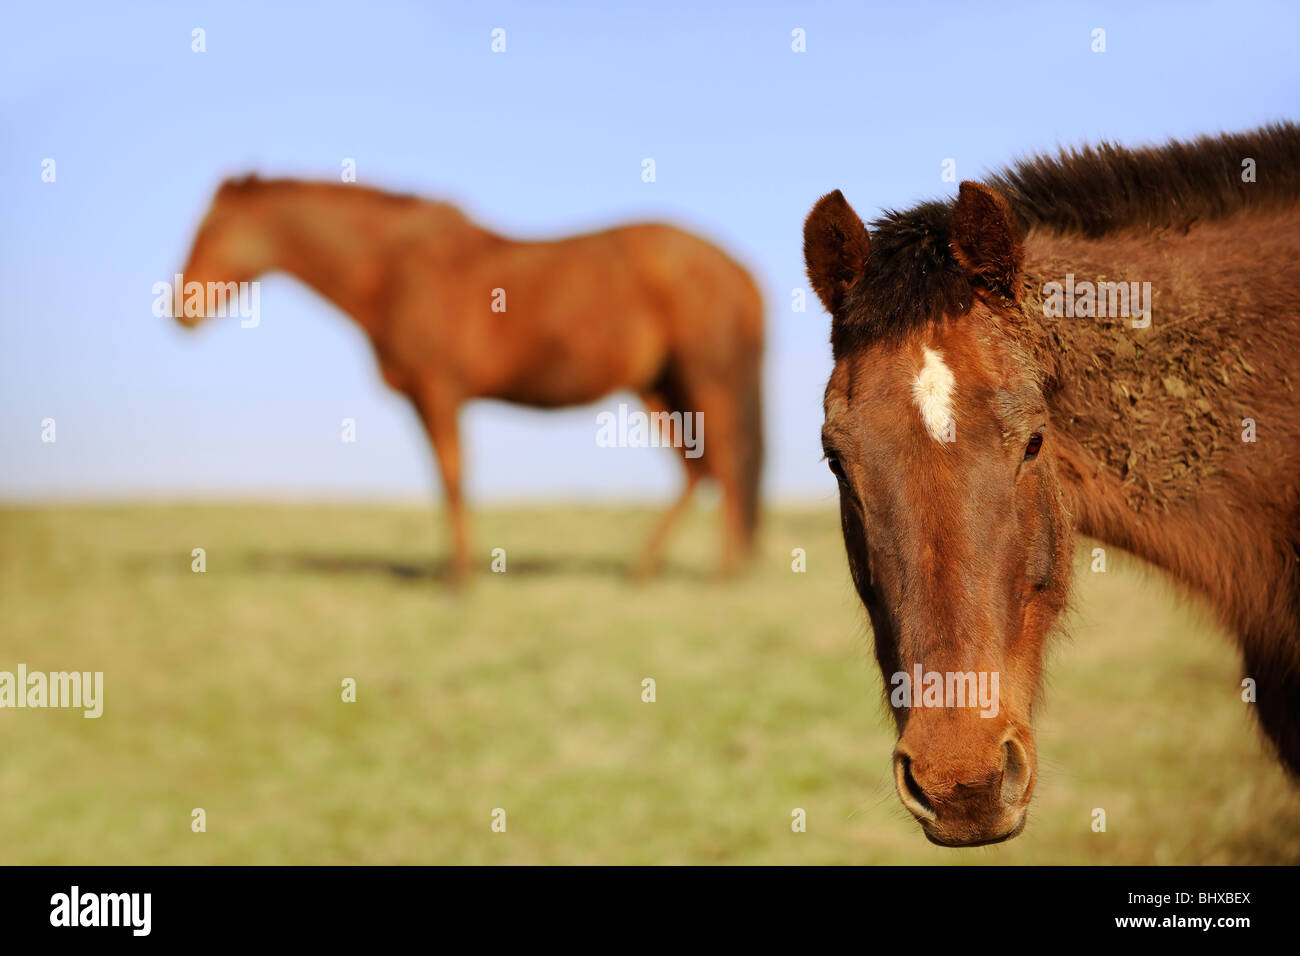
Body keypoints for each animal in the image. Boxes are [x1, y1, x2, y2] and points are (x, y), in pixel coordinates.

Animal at [172, 178, 759, 582]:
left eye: (212, 228)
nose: (181, 308)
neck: (393, 270)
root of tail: (738, 270)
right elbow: (445, 478)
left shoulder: (438, 390)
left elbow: (453, 476)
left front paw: (460, 580)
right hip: (659, 388)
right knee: (698, 470)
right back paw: (643, 571)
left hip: (702, 381)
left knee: (726, 464)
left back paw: (721, 575)